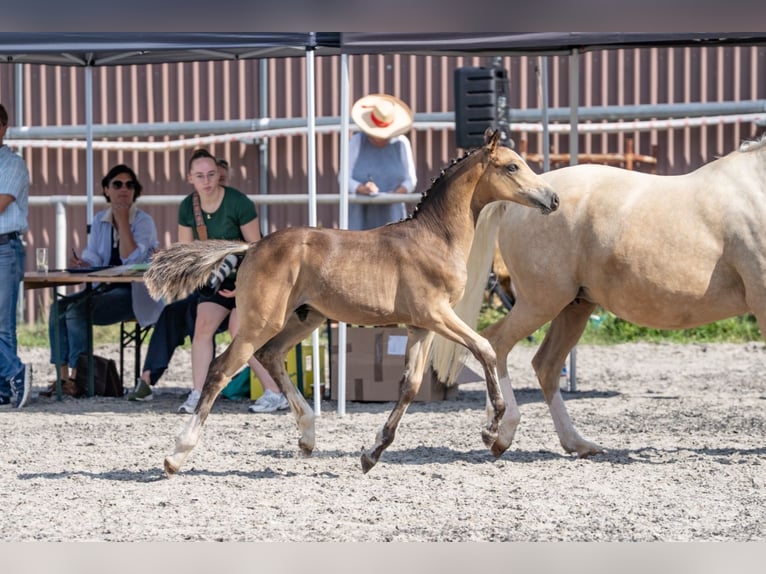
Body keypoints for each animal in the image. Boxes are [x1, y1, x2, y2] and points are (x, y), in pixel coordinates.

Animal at [144, 130, 560, 476]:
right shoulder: (437, 315)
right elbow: (485, 348)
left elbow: (410, 385)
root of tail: (252, 246)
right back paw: (176, 455)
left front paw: (371, 454)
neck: (435, 238)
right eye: (512, 166)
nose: (552, 198)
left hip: (303, 319)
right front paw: (492, 430)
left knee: (270, 356)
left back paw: (307, 436)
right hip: (260, 321)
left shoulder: (420, 326)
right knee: (221, 369)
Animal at [431, 133, 766, 459]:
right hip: (541, 303)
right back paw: (500, 433)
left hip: (574, 307)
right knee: (497, 344)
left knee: (545, 366)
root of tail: (523, 201)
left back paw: (576, 443)